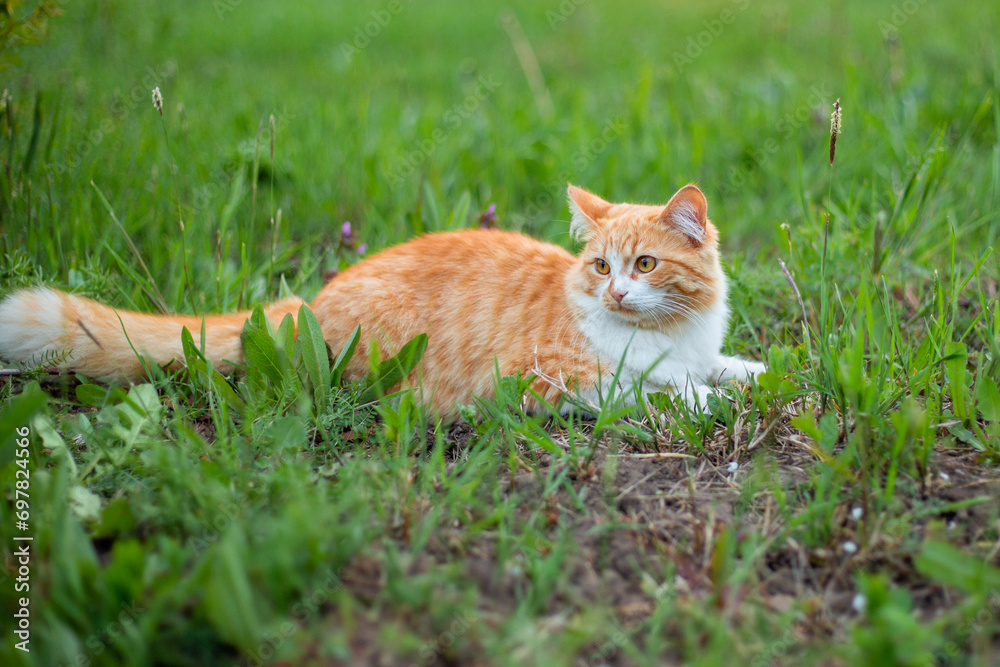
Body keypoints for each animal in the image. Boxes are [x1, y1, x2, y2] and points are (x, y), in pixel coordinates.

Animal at [0, 185, 764, 414]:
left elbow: (721, 367)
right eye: (601, 266)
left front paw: (746, 374)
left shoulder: (698, 347)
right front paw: (699, 399)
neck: (671, 334)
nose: (615, 291)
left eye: (644, 264)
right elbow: (645, 387)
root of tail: (309, 301)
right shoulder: (548, 376)